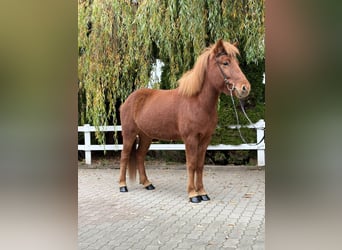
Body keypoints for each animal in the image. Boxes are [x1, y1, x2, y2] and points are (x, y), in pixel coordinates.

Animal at [119, 39, 250, 203]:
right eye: (225, 63)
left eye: (237, 63)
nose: (245, 88)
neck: (197, 102)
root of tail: (129, 99)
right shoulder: (190, 138)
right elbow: (191, 164)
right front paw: (193, 194)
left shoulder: (205, 139)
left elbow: (200, 165)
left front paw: (203, 193)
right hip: (129, 134)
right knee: (124, 156)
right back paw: (122, 186)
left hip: (146, 136)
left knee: (139, 156)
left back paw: (147, 183)